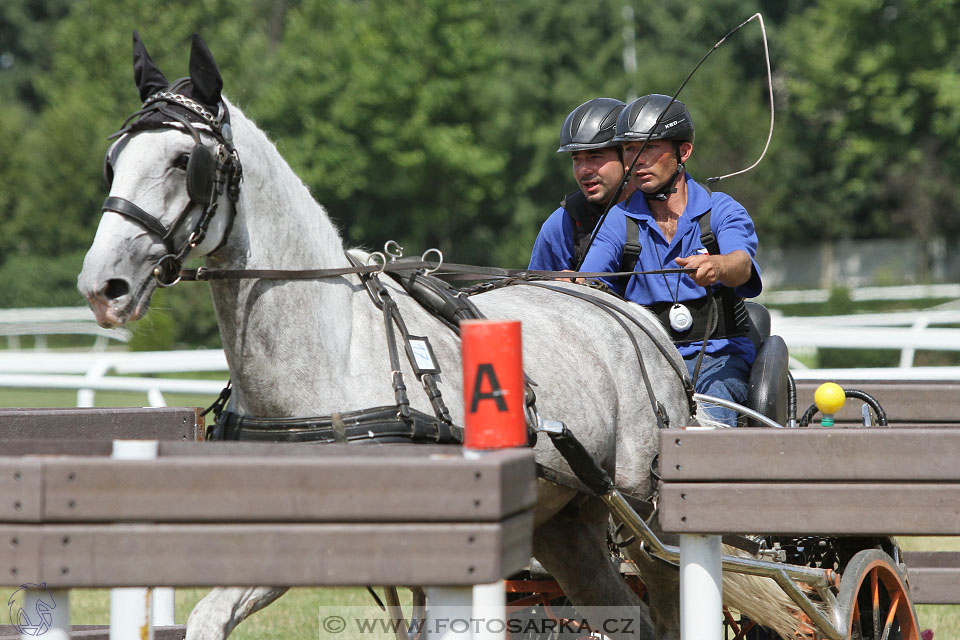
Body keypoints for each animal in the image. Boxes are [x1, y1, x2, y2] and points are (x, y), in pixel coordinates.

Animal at [79, 33, 804, 640]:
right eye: (112, 160)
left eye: (185, 160)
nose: (102, 285)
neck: (329, 366)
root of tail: (633, 316)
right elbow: (208, 615)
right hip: (565, 522)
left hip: (646, 514)